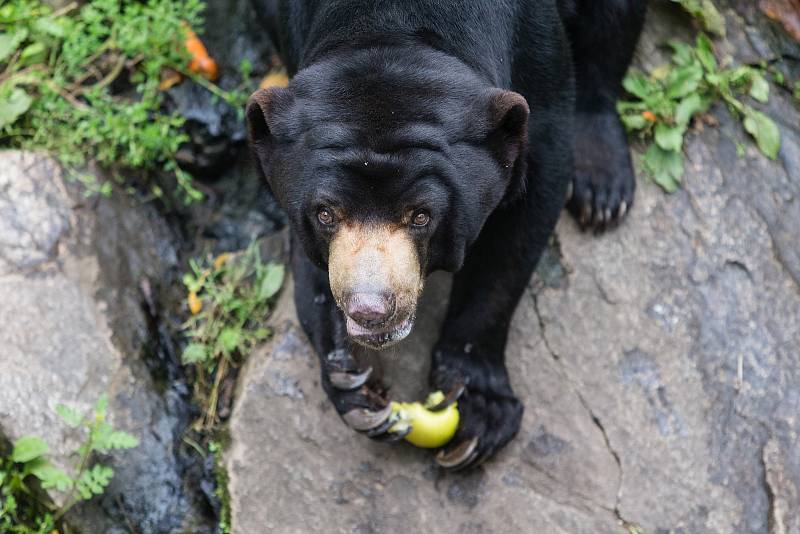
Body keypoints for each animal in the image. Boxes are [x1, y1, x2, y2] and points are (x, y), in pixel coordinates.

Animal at [247, 0, 648, 468]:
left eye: (422, 216)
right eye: (326, 213)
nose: (371, 310)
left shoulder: (536, 61)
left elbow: (518, 231)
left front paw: (479, 414)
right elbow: (311, 268)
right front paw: (353, 382)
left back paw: (602, 193)